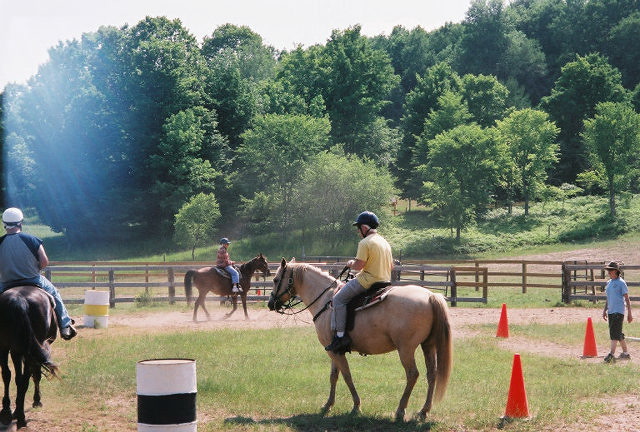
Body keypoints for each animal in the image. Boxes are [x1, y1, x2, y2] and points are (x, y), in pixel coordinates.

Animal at [0, 284, 58, 428]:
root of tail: (19, 301)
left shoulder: (15, 350)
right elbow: (35, 375)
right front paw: (37, 400)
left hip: (6, 346)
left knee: (8, 375)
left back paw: (9, 413)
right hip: (26, 351)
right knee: (25, 378)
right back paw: (20, 417)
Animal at [268, 258, 452, 420]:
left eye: (276, 279)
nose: (270, 304)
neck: (326, 301)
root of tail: (430, 296)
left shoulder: (334, 352)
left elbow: (347, 376)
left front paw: (356, 406)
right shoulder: (334, 350)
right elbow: (334, 376)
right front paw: (328, 404)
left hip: (406, 349)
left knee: (412, 374)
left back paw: (400, 410)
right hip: (428, 345)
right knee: (432, 375)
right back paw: (424, 411)